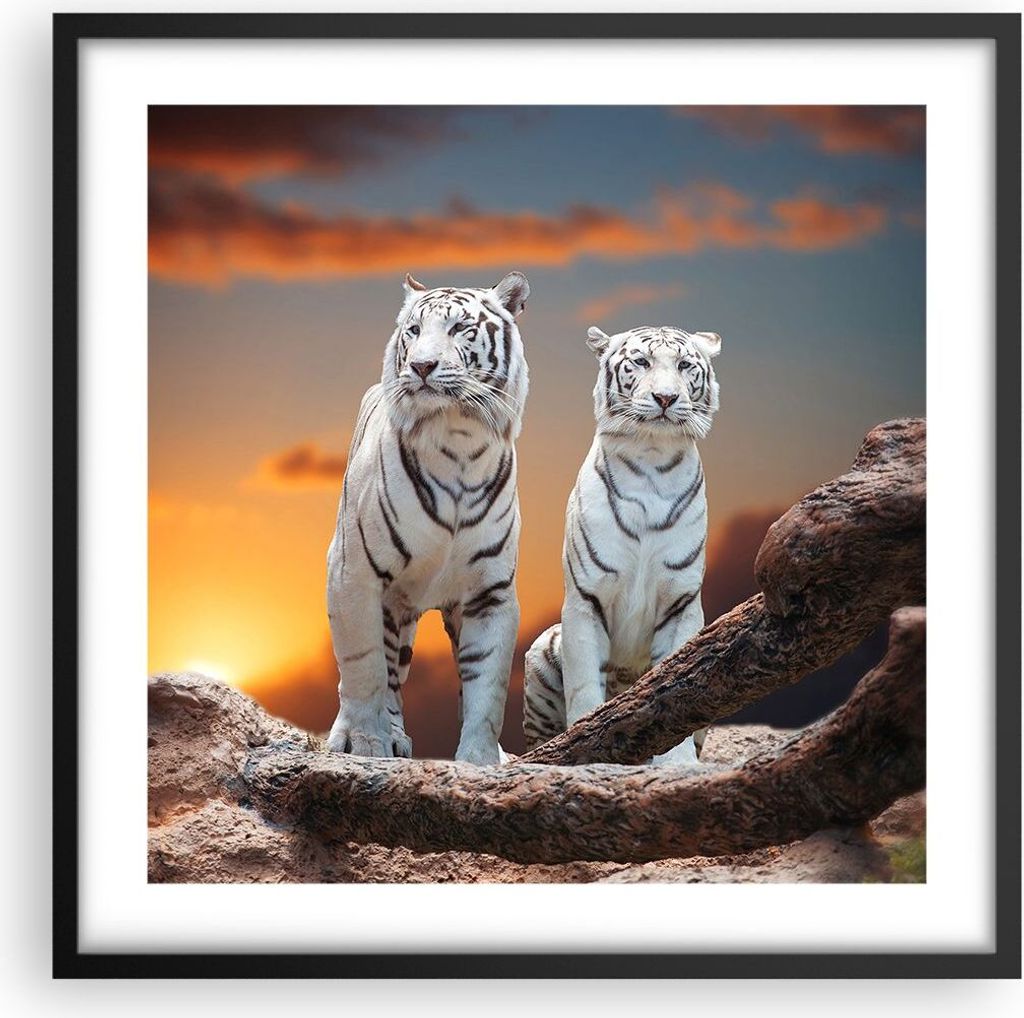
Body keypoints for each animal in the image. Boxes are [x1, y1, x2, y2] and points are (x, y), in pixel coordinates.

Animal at [325, 271, 530, 764]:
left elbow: (487, 688)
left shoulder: (491, 591)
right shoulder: (352, 572)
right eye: (414, 331)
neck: (458, 438)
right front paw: (365, 744)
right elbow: (362, 669)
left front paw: (481, 761)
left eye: (460, 328)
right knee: (381, 673)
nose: (420, 366)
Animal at [523, 323, 721, 763]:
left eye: (685, 366)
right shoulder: (585, 598)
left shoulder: (681, 602)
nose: (666, 398)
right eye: (641, 362)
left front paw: (678, 764)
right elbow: (584, 688)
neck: (652, 459)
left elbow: (678, 686)